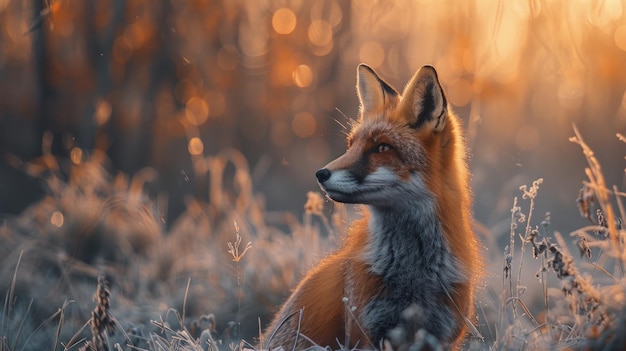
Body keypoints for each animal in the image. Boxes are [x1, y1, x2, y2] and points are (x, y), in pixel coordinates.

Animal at [260, 64, 480, 350]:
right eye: (351, 145)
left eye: (382, 148)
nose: (320, 174)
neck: (413, 271)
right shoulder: (364, 331)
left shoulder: (442, 335)